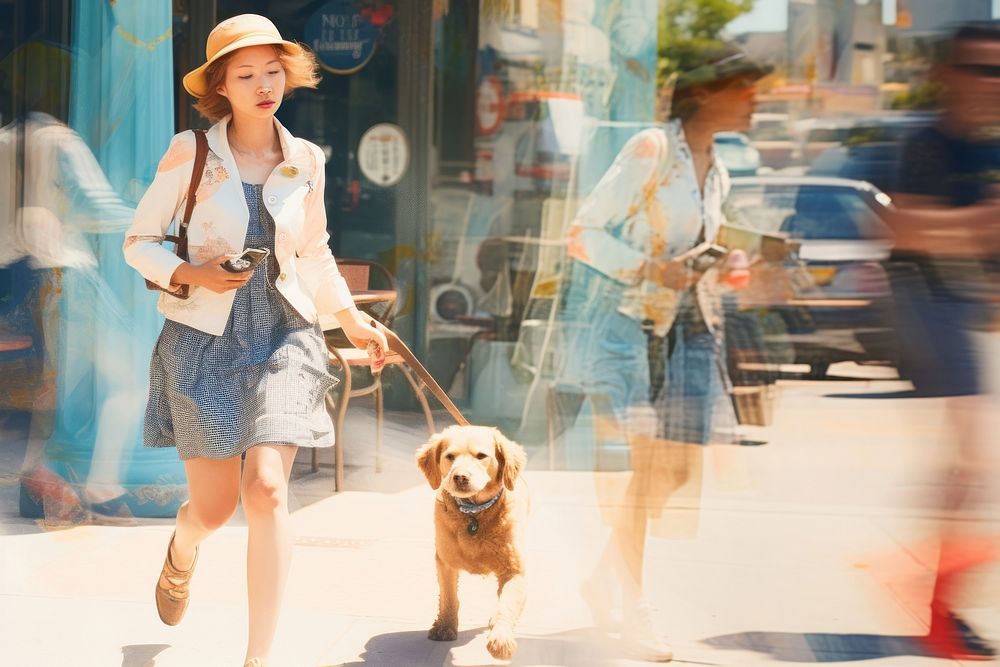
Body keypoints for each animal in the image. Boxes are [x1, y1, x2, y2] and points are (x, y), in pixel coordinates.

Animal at [416, 426, 532, 660]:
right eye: (450, 456)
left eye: (481, 456)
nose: (460, 476)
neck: (474, 513)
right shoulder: (445, 562)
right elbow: (449, 598)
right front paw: (445, 627)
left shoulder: (513, 570)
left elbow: (506, 604)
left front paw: (501, 639)